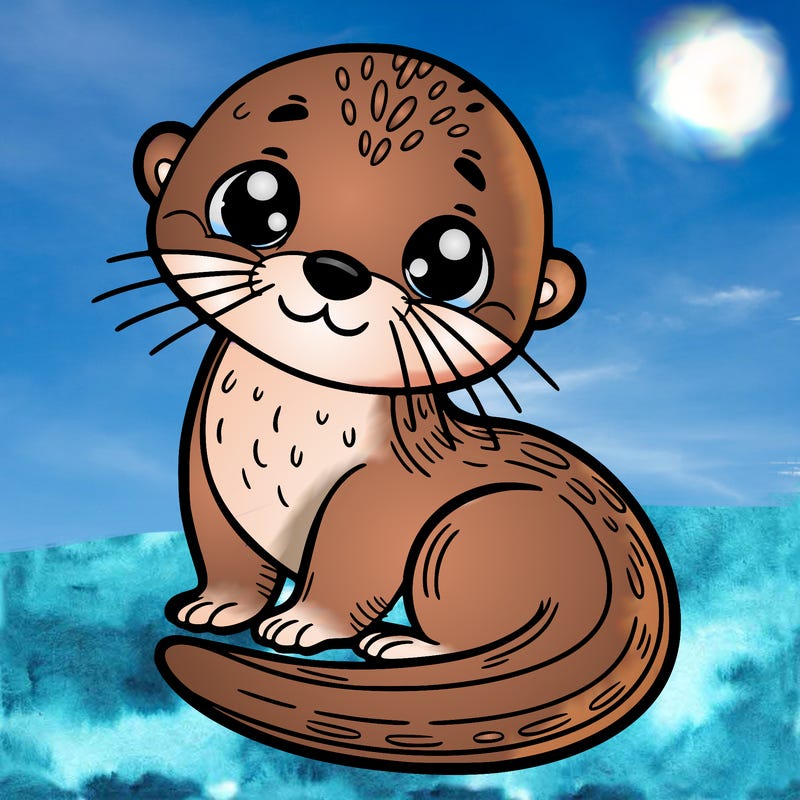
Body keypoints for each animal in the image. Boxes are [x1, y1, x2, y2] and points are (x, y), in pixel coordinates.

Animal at [111, 45, 679, 772]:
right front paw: (216, 607)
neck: (281, 431)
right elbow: (225, 551)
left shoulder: (384, 489)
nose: (335, 268)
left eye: (449, 260)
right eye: (253, 201)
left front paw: (303, 623)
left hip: (470, 531)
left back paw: (404, 645)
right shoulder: (207, 469)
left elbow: (352, 564)